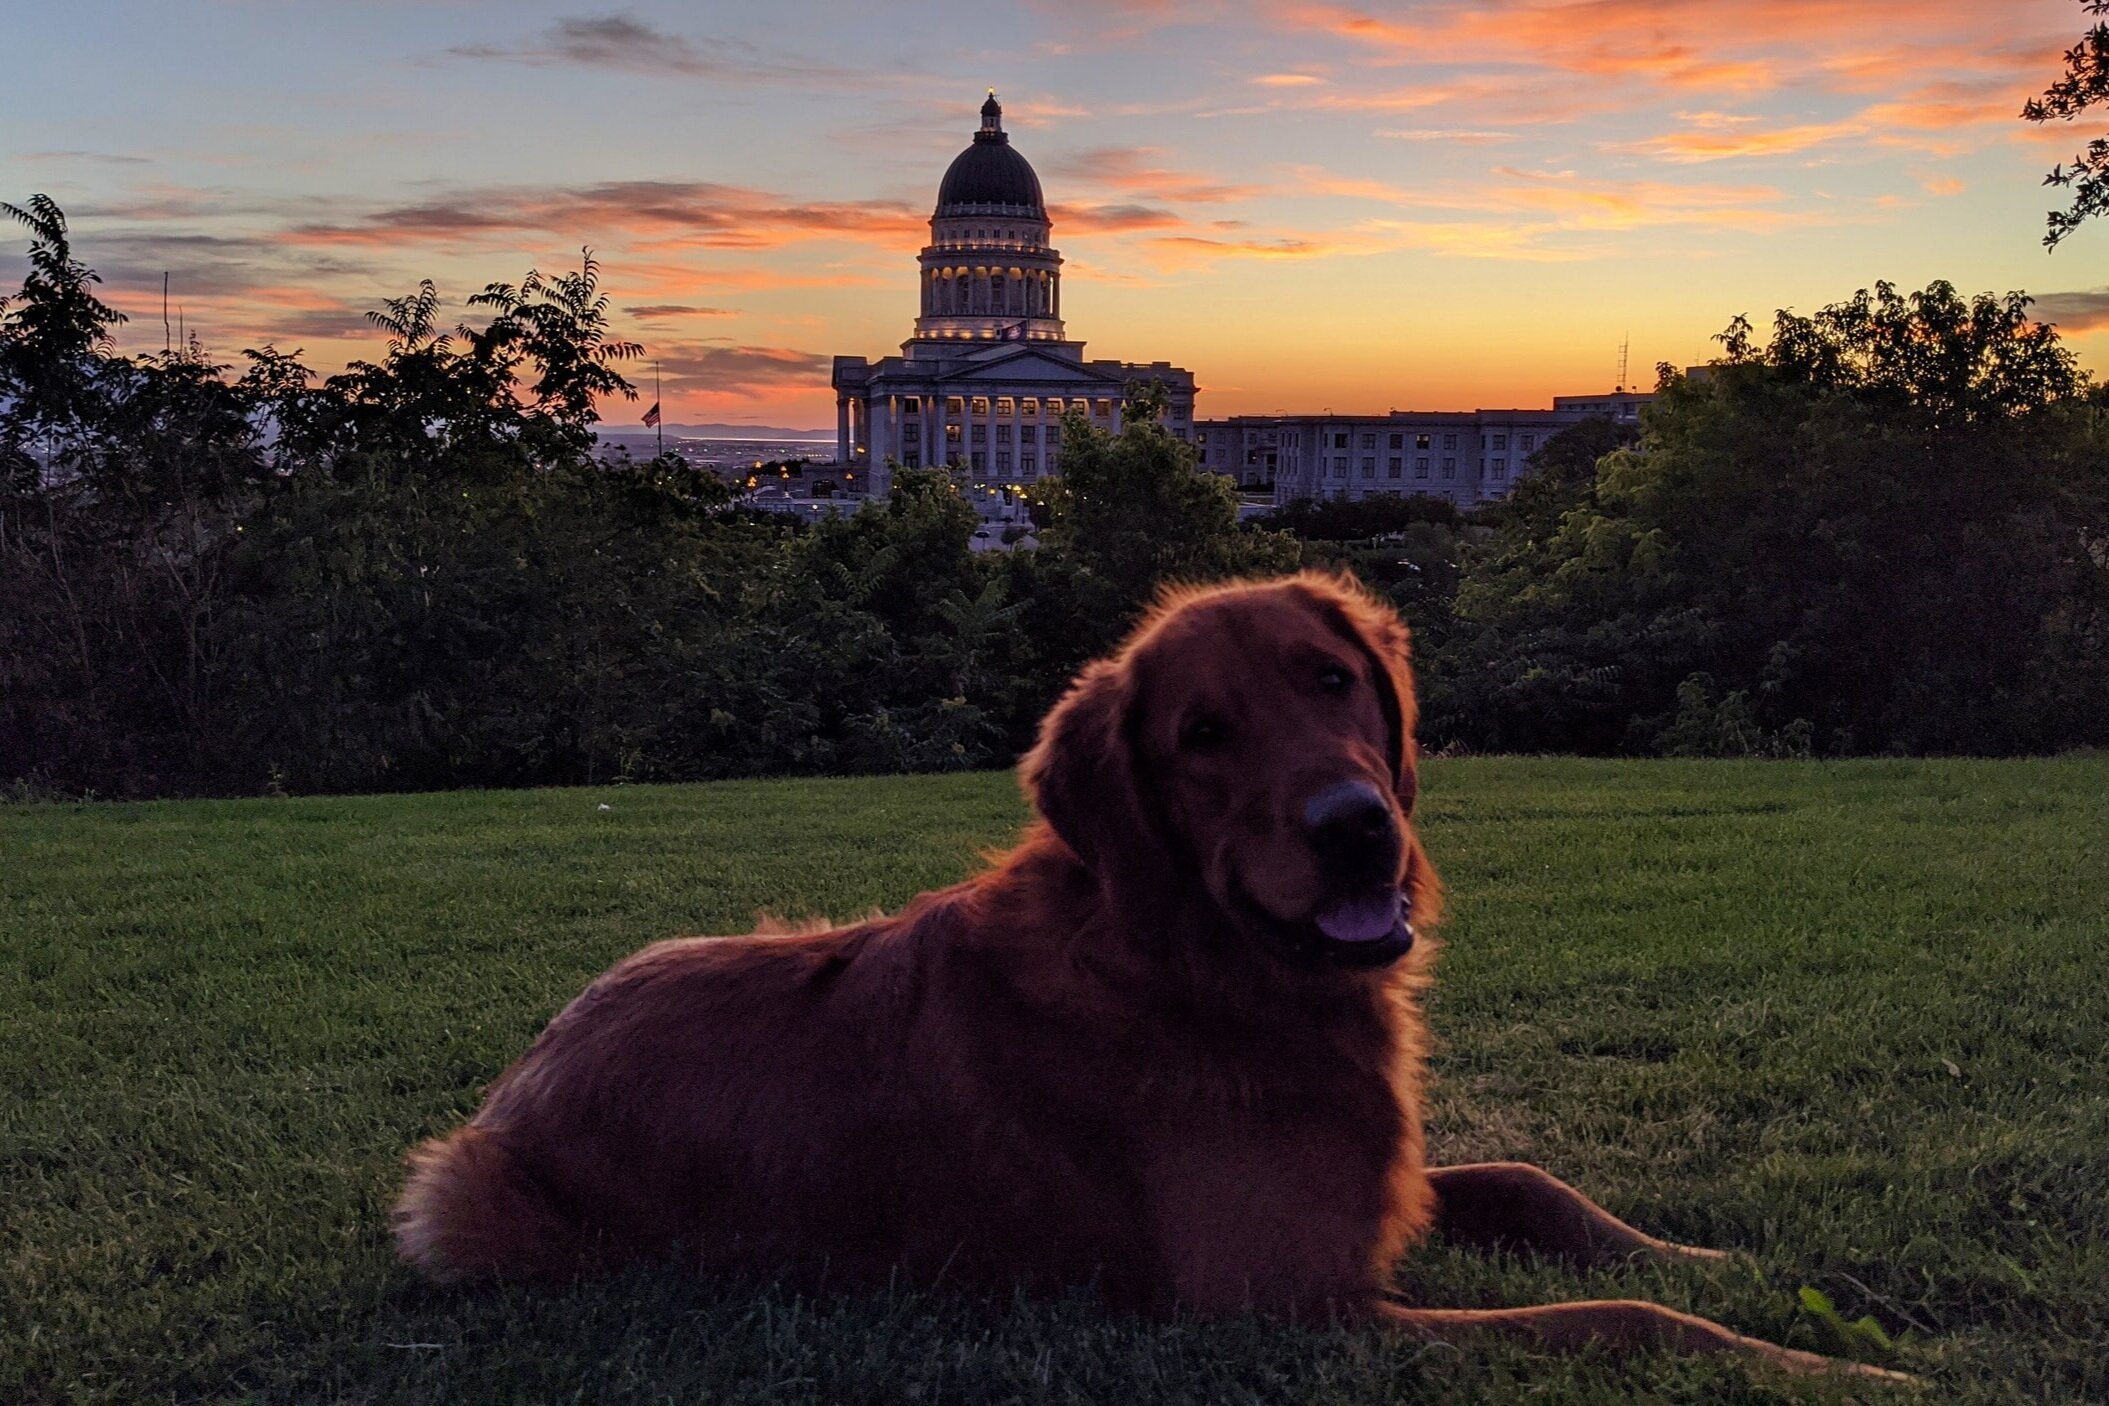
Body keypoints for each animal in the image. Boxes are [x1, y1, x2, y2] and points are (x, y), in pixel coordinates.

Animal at [396, 573, 1914, 1382]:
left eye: (1330, 679)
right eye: (1201, 735)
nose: (1357, 826)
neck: (1202, 965)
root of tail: (521, 1077)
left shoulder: (1385, 1196)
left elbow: (1546, 1188)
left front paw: (1761, 1263)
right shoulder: (1294, 1314)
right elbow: (1614, 1320)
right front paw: (1832, 1367)